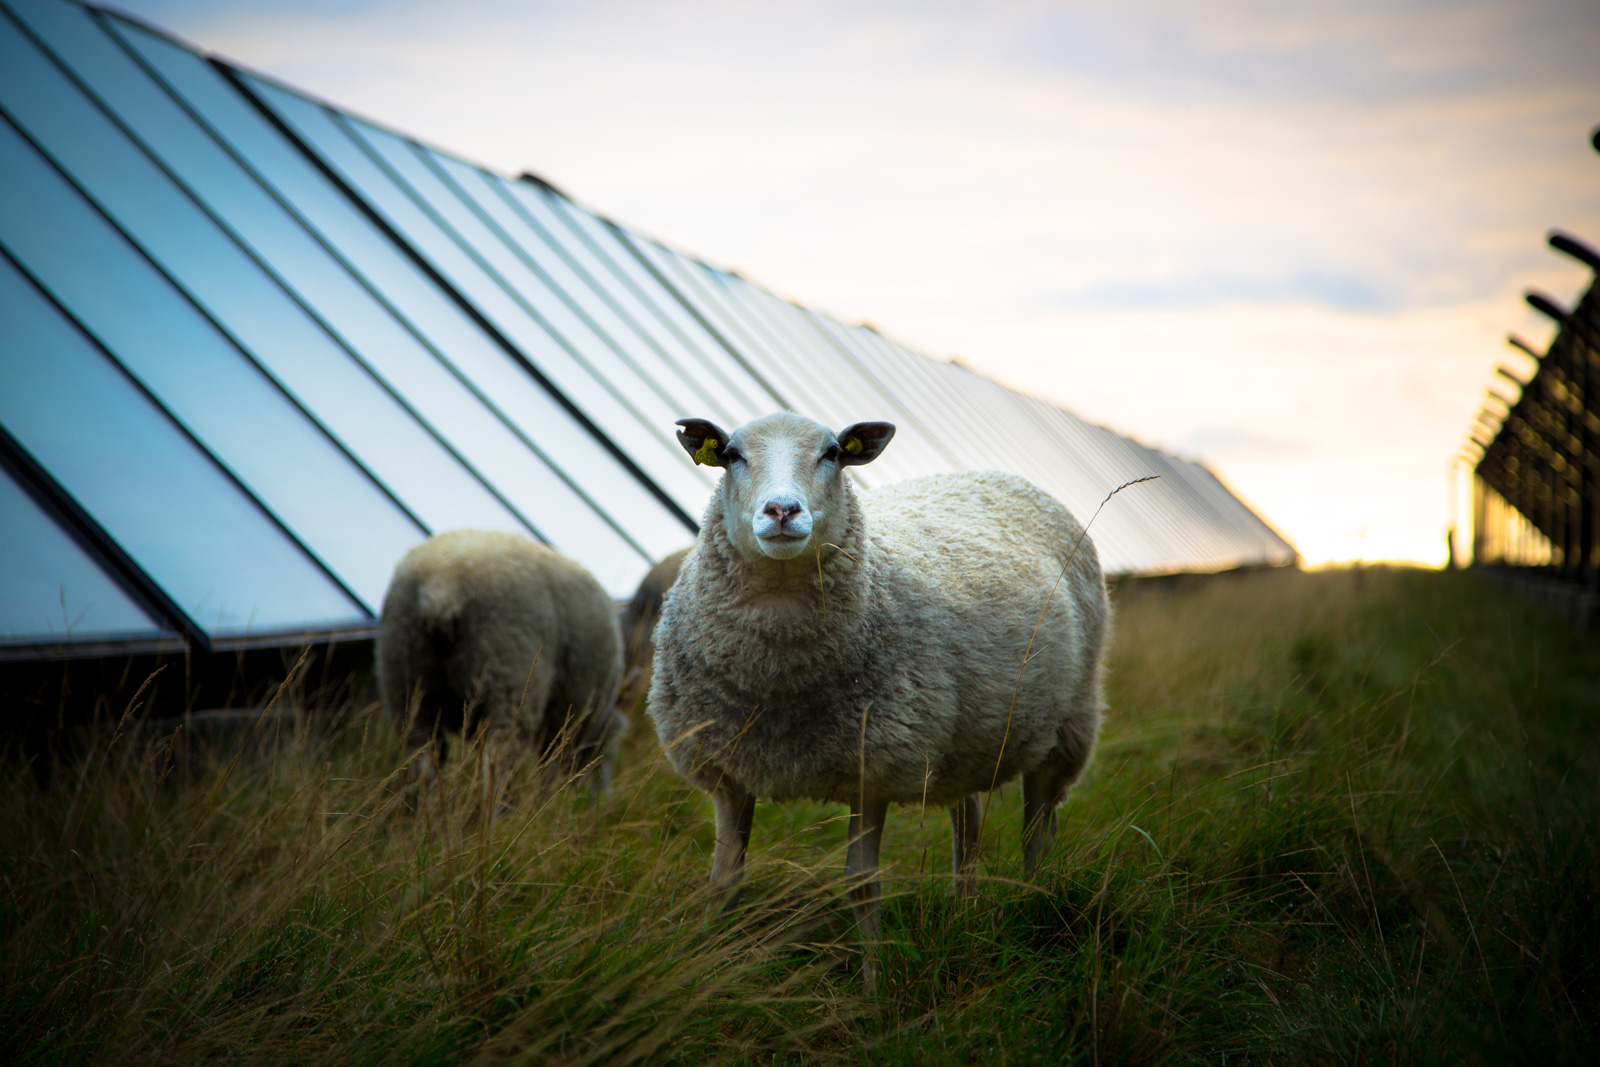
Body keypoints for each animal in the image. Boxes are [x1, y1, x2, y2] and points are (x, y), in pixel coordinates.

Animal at [376, 531, 624, 796]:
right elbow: (547, 775)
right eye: (609, 756)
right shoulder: (560, 730)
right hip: (511, 680)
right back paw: (493, 807)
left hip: (404, 681)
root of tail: (442, 584)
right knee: (497, 764)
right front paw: (543, 802)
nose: (603, 799)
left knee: (424, 763)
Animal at [643, 415, 1107, 979]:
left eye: (834, 454)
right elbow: (724, 881)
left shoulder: (874, 770)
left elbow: (861, 885)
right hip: (966, 739)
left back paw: (1037, 900)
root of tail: (997, 473)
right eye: (731, 454)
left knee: (1036, 826)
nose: (782, 511)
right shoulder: (728, 773)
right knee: (968, 824)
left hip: (1068, 725)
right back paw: (967, 911)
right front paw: (706, 962)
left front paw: (875, 983)